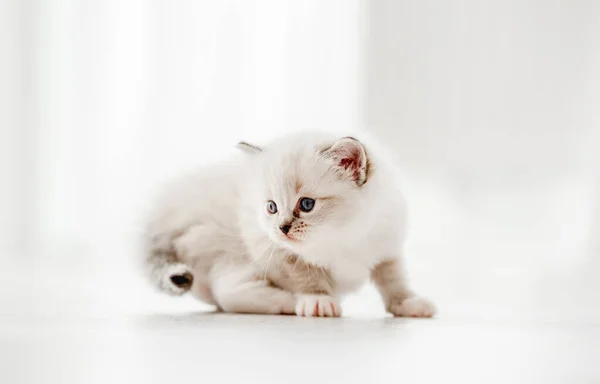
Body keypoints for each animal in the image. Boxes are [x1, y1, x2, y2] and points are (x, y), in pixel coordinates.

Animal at [145, 130, 436, 316]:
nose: (282, 228)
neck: (342, 236)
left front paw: (408, 303)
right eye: (272, 207)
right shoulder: (280, 252)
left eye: (306, 204)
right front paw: (318, 301)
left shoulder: (386, 244)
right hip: (231, 256)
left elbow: (394, 280)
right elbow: (306, 277)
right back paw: (289, 303)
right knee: (228, 295)